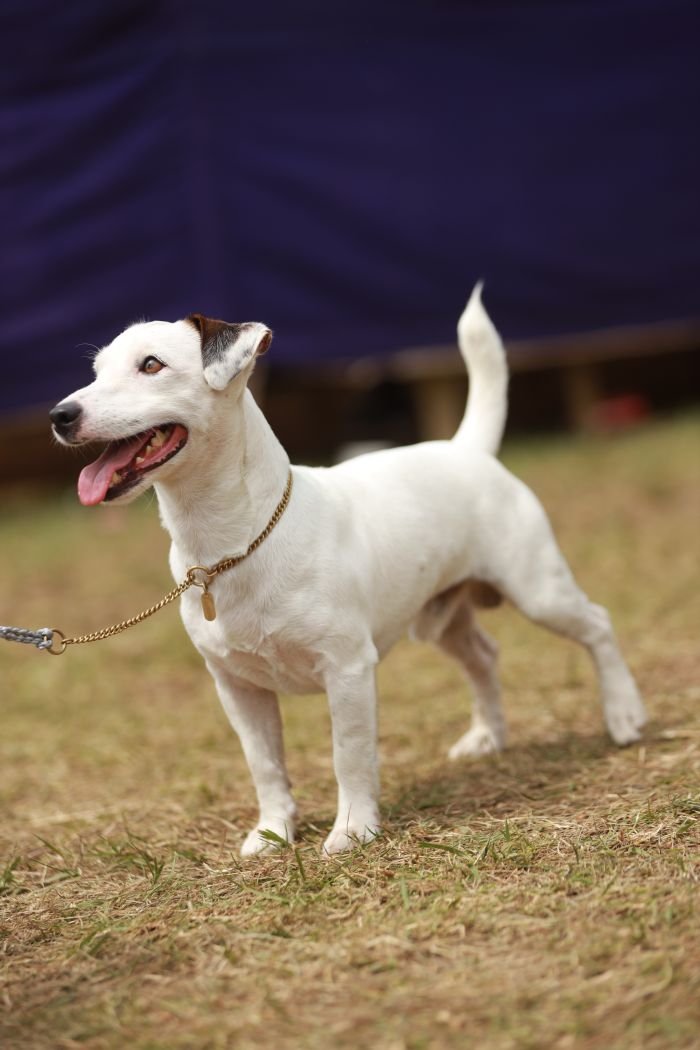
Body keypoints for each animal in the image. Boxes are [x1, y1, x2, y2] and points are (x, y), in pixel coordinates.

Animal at [49, 285, 650, 852]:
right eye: (96, 372)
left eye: (151, 365)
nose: (60, 415)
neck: (231, 545)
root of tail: (466, 450)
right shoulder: (237, 688)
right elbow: (264, 765)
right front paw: (273, 832)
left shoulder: (348, 669)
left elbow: (349, 755)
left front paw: (354, 830)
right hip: (437, 618)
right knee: (483, 655)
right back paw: (488, 736)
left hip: (539, 590)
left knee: (597, 625)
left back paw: (624, 716)